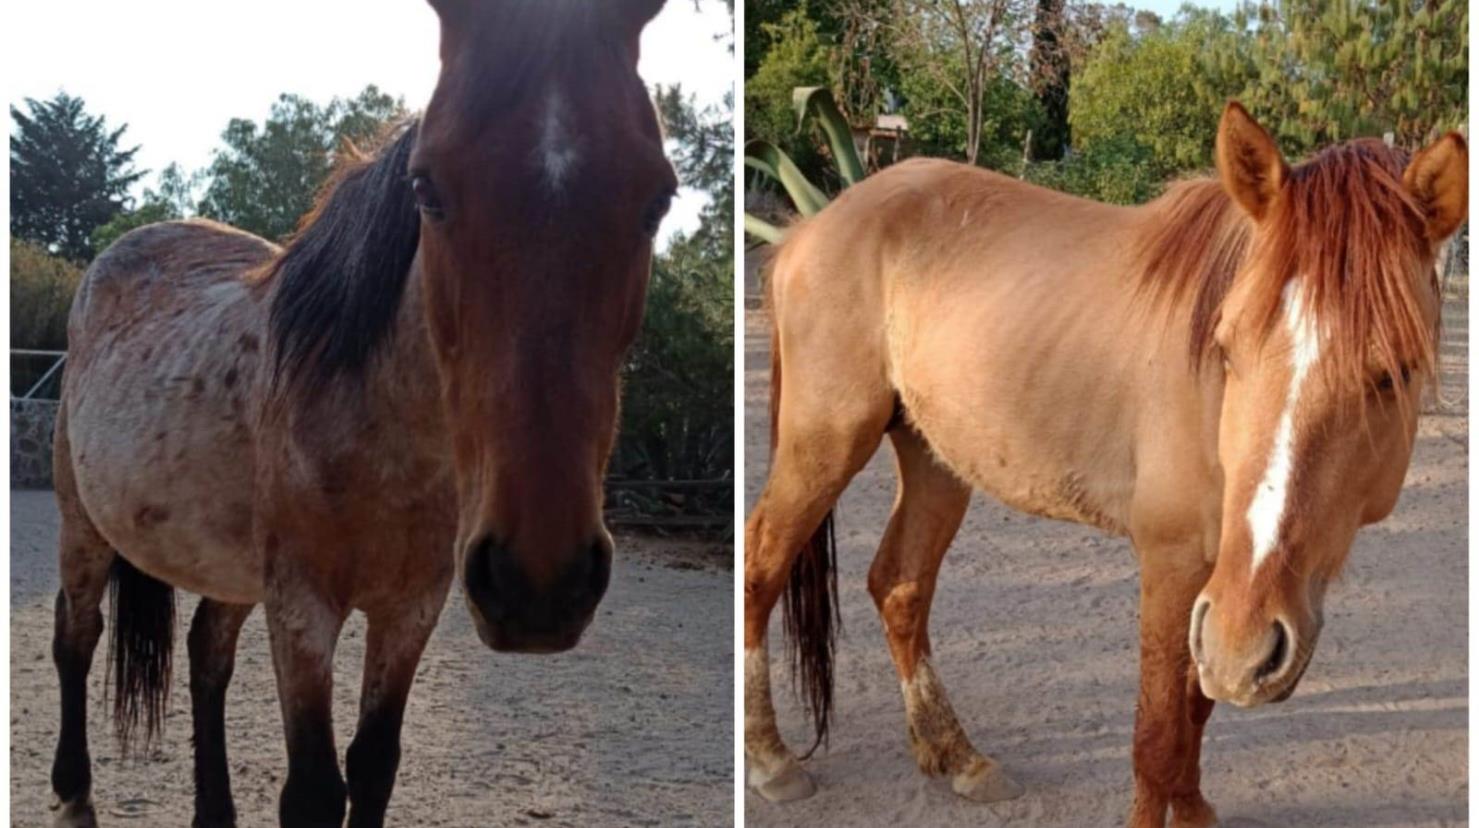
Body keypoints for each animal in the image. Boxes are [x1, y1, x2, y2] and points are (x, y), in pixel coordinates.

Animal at [49, 3, 677, 822]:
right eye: (426, 188)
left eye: (658, 197)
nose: (538, 582)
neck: (384, 434)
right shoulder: (303, 609)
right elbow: (315, 789)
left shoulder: (412, 608)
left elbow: (375, 762)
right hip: (84, 527)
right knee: (76, 636)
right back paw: (72, 792)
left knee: (206, 656)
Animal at [745, 104, 1461, 828]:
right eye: (1227, 348)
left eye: (1394, 374)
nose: (1247, 644)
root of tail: (812, 226)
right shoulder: (1176, 564)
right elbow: (1157, 739)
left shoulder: (1217, 590)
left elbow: (1194, 715)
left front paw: (1193, 811)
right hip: (825, 441)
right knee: (762, 565)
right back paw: (772, 761)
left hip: (934, 457)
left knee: (900, 585)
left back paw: (956, 757)